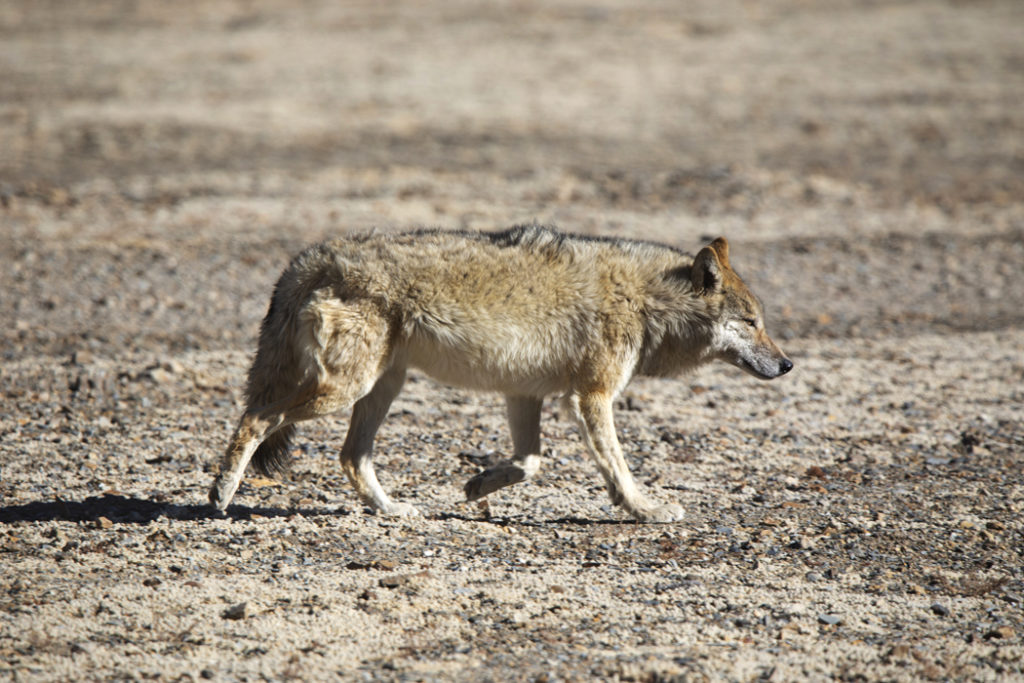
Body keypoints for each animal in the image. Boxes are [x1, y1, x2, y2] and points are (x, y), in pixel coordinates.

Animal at [208, 225, 792, 523]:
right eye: (752, 323)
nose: (787, 364)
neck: (646, 301)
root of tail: (307, 258)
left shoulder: (525, 394)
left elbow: (529, 463)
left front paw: (477, 485)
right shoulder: (591, 397)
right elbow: (618, 469)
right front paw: (645, 508)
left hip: (381, 388)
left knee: (350, 457)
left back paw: (393, 509)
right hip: (346, 388)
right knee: (257, 417)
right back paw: (221, 494)